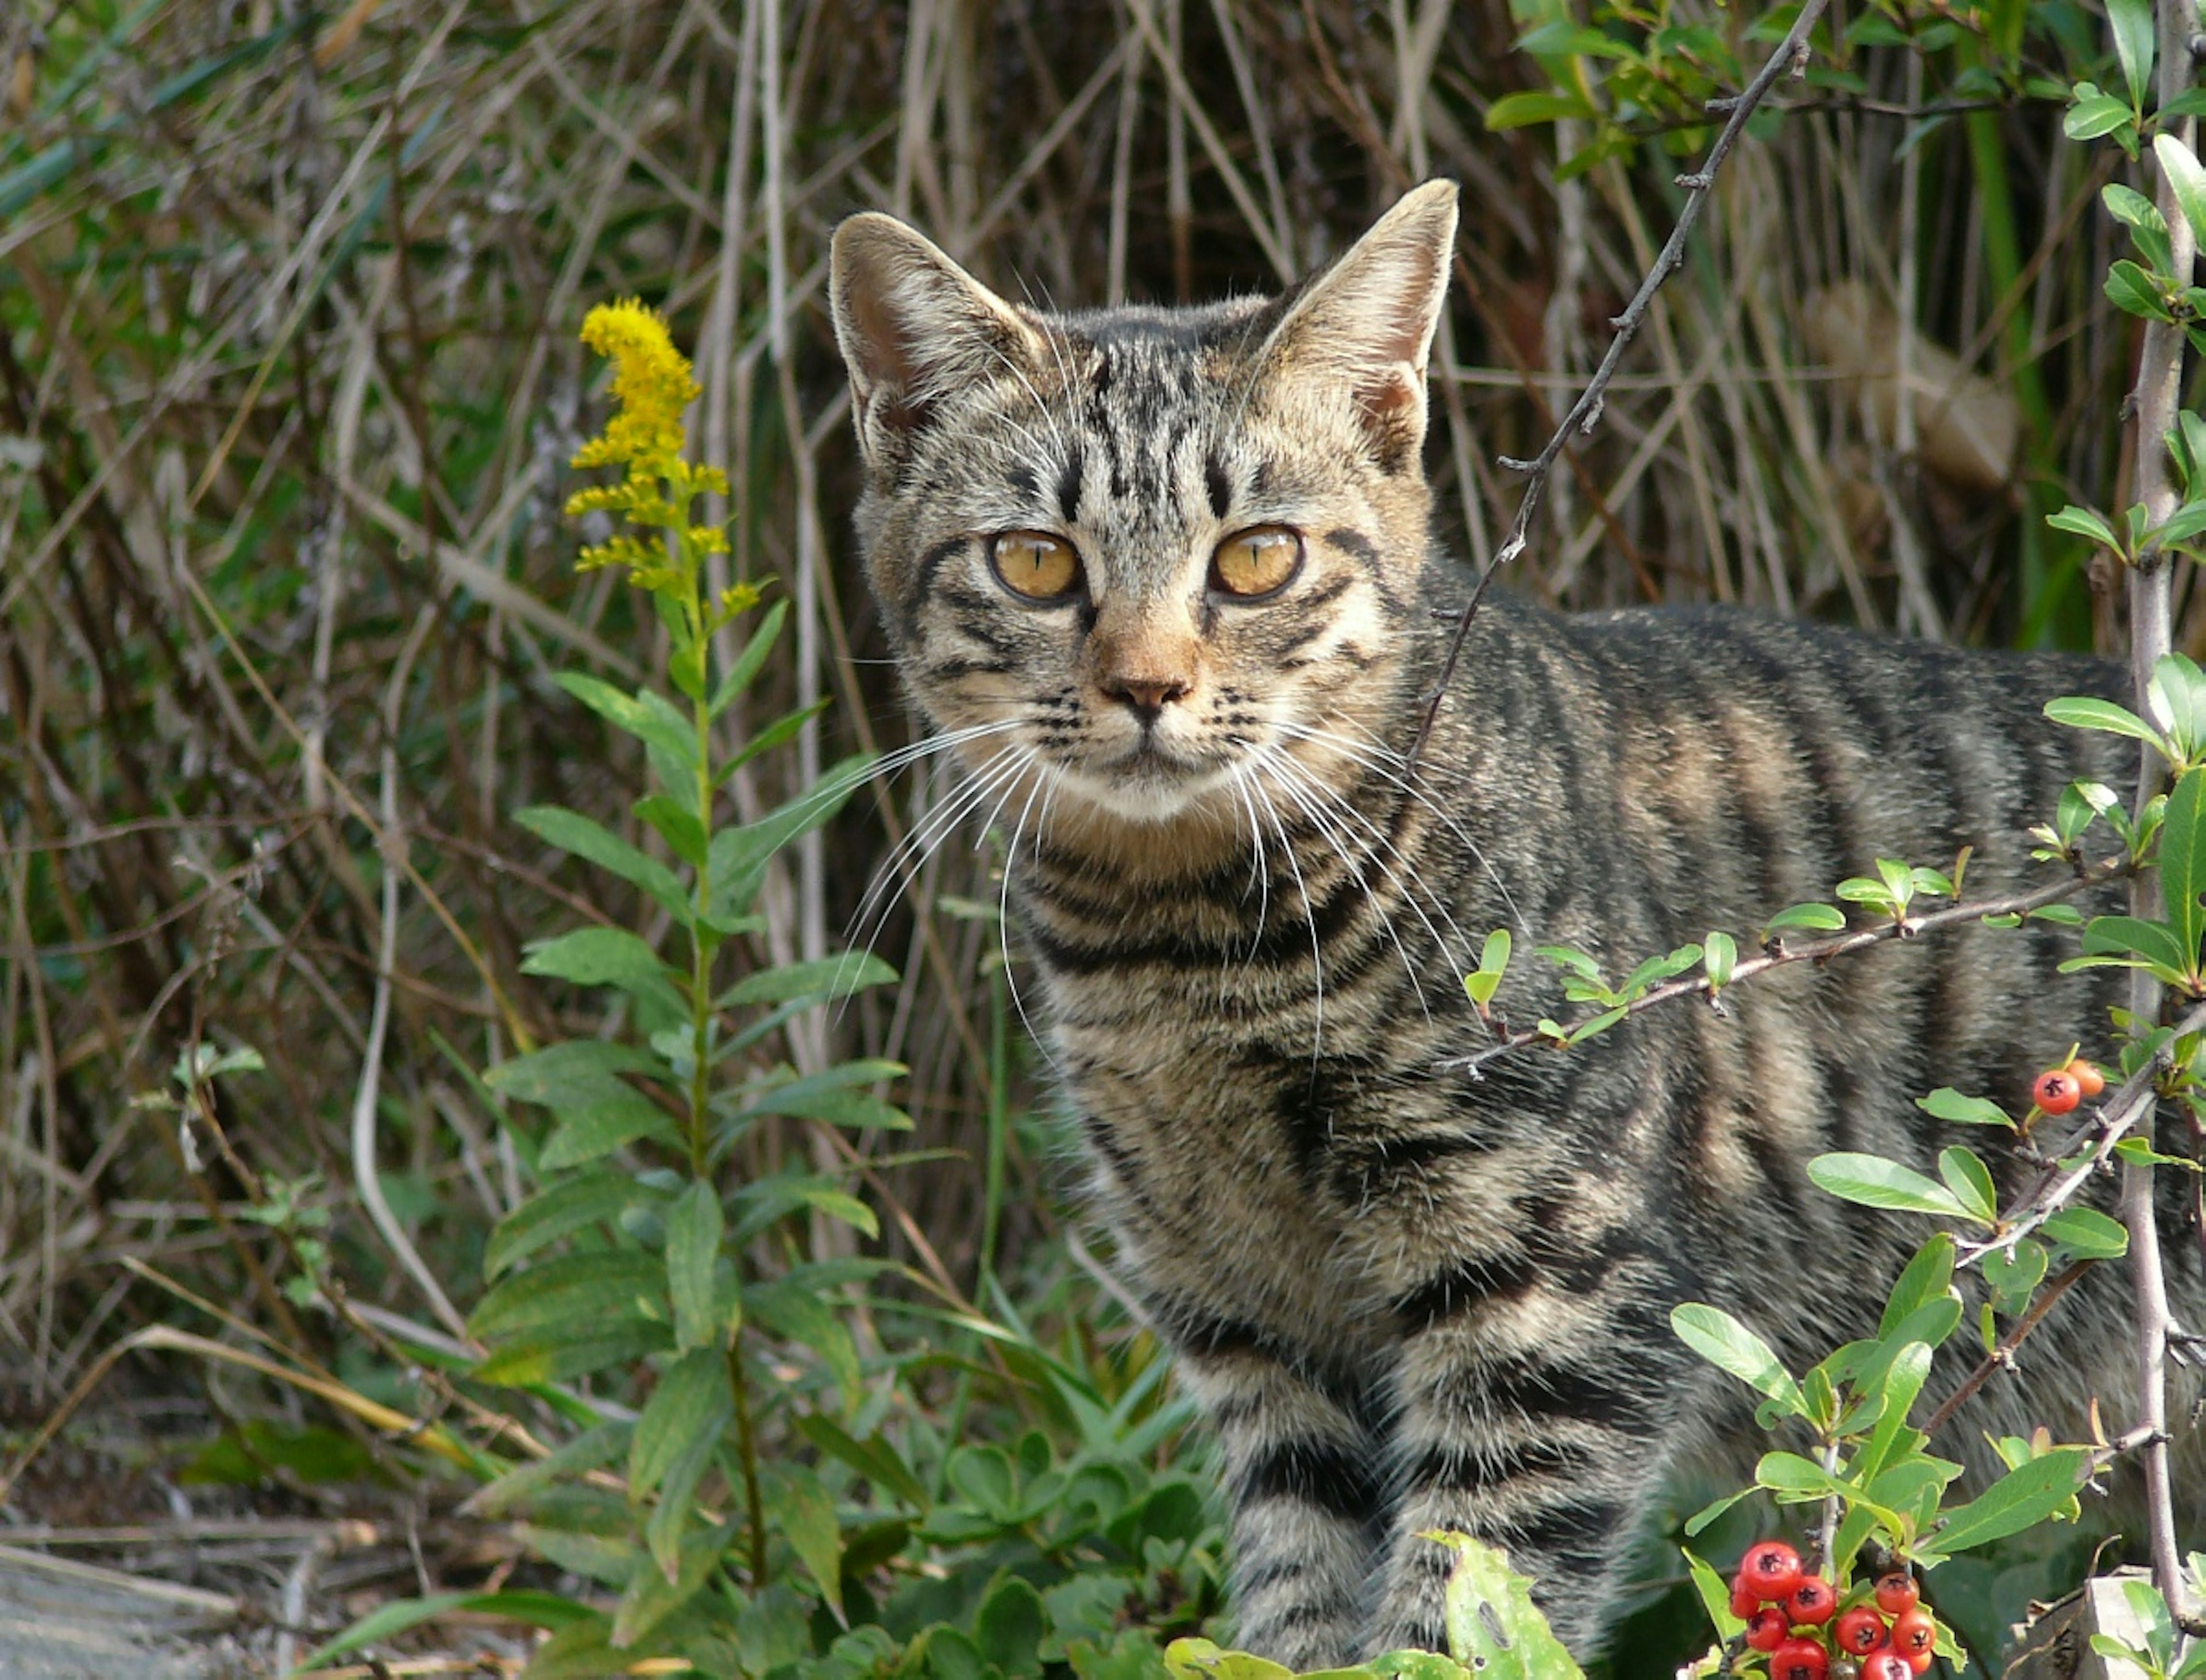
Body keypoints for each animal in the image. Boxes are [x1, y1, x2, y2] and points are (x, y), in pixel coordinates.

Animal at [829, 183, 2206, 1669]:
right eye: (1035, 562)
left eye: (1256, 559)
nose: (1146, 684)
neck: (1181, 950)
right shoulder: (1250, 1326)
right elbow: (1300, 1600)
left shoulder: (1554, 1298)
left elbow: (1463, 1605)